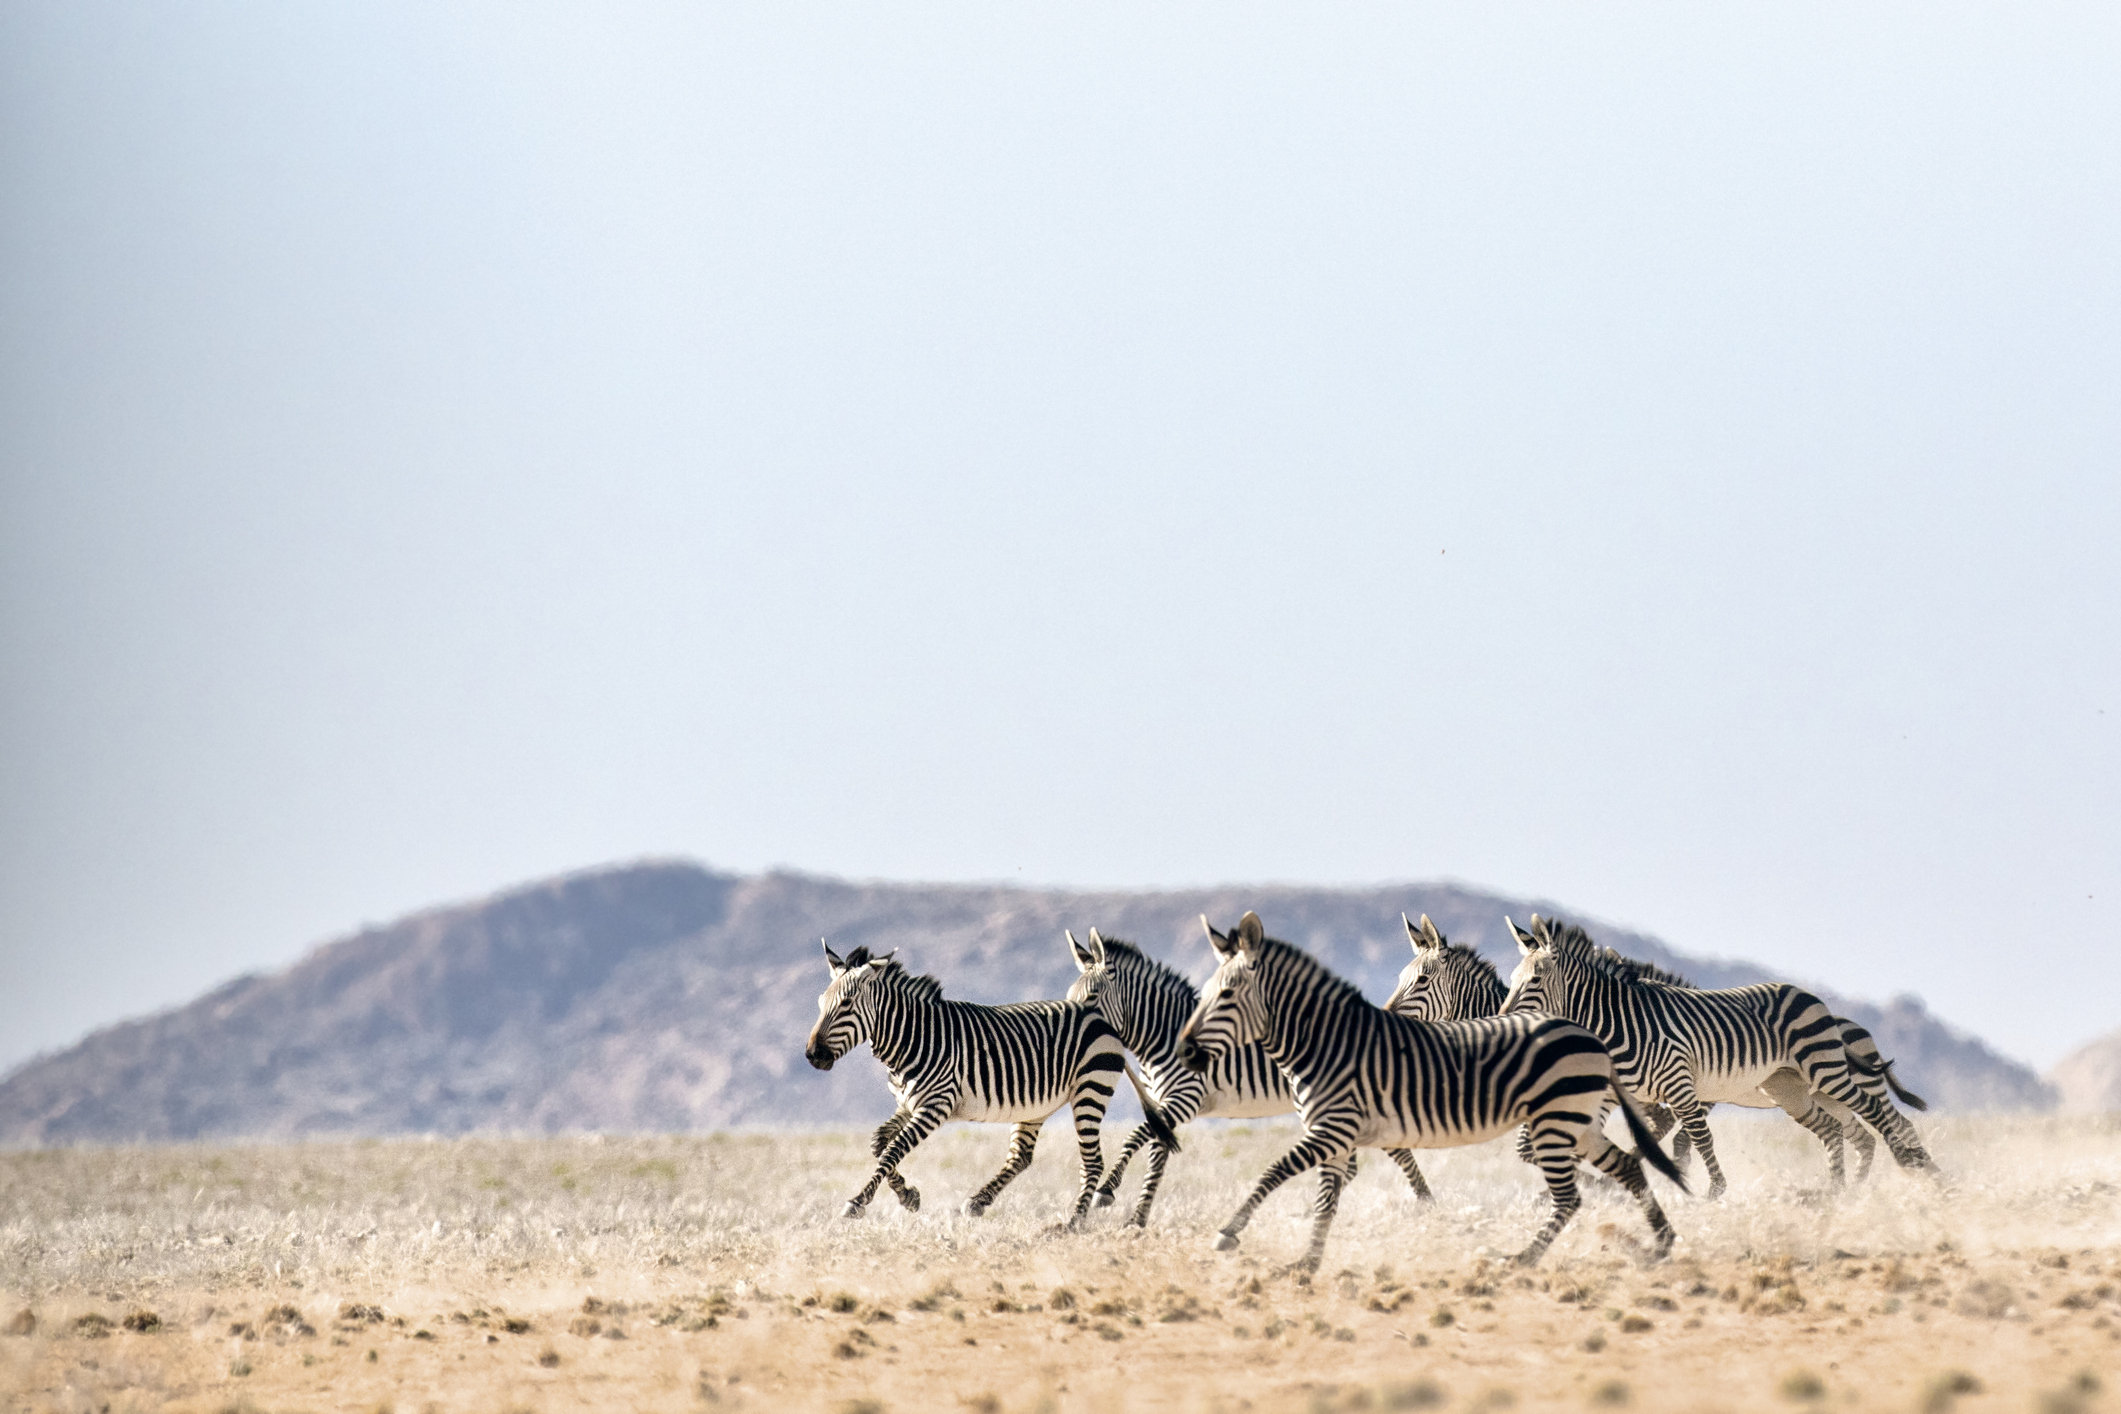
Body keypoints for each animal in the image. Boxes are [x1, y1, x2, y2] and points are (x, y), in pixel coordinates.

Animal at [801, 941, 1187, 1229]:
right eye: (820, 1003)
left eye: (846, 1003)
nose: (812, 1055)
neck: (914, 1037)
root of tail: (1101, 1019)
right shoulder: (908, 1104)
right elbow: (879, 1143)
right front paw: (908, 1195)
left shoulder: (935, 1104)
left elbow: (893, 1149)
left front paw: (858, 1201)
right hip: (1037, 1105)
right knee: (1022, 1156)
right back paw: (978, 1201)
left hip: (1090, 1091)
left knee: (1092, 1161)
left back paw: (1073, 1223)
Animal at [1068, 928, 1433, 1229]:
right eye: (1071, 996)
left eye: (1092, 996)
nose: (1073, 1031)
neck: (1163, 1035)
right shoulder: (1162, 1104)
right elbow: (1157, 1155)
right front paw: (1138, 1219)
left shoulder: (1186, 1098)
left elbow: (1135, 1136)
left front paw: (1108, 1191)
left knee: (1393, 1152)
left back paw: (1426, 1201)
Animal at [1170, 911, 1679, 1280]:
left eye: (1420, 981)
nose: (1185, 1050)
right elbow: (1328, 1192)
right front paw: (1307, 1259)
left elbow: (1278, 1171)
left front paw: (1230, 1234)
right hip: (1584, 1116)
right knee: (1643, 1150)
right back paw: (1658, 1237)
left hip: (1576, 1113)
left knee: (1621, 1159)